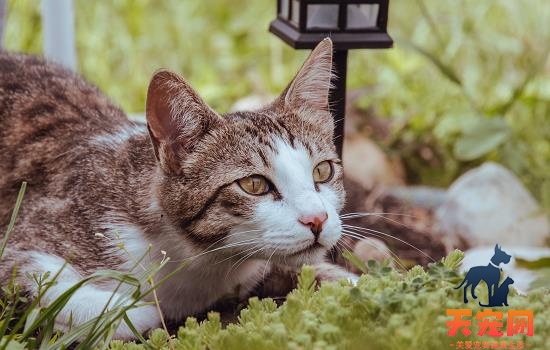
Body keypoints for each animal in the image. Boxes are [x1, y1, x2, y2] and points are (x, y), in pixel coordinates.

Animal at [0, 39, 356, 340]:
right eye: (254, 184)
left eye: (323, 170)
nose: (317, 219)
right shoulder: (25, 238)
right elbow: (54, 288)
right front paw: (142, 312)